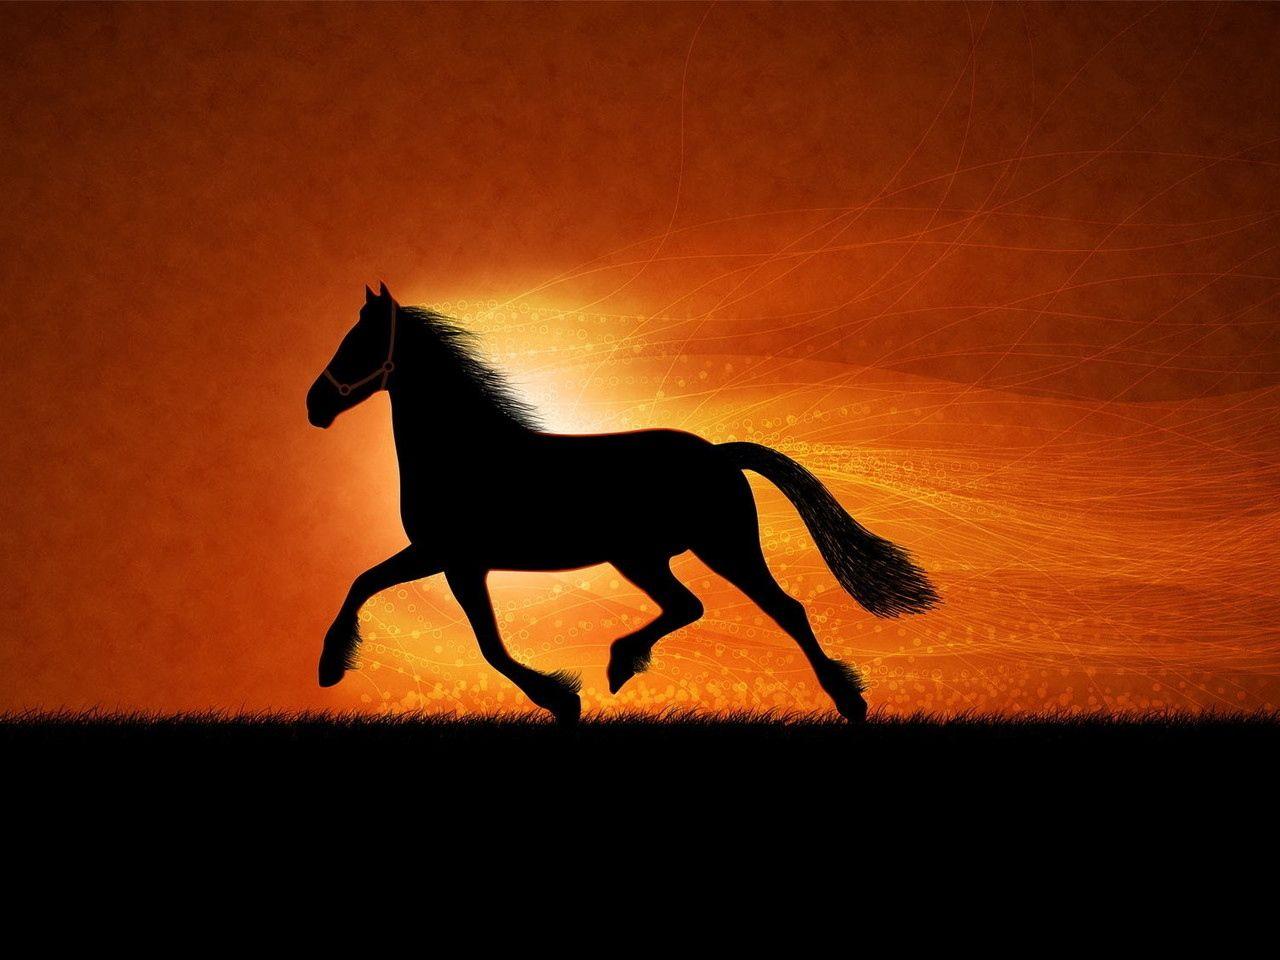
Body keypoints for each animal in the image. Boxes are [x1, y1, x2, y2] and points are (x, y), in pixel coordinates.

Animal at [306, 284, 939, 725]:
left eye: (358, 343)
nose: (315, 405)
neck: (464, 451)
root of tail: (718, 453)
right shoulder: (443, 557)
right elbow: (367, 584)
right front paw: (331, 667)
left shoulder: (454, 559)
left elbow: (484, 643)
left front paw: (561, 699)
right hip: (645, 557)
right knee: (689, 606)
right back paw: (621, 663)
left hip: (718, 548)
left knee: (784, 610)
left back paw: (848, 702)